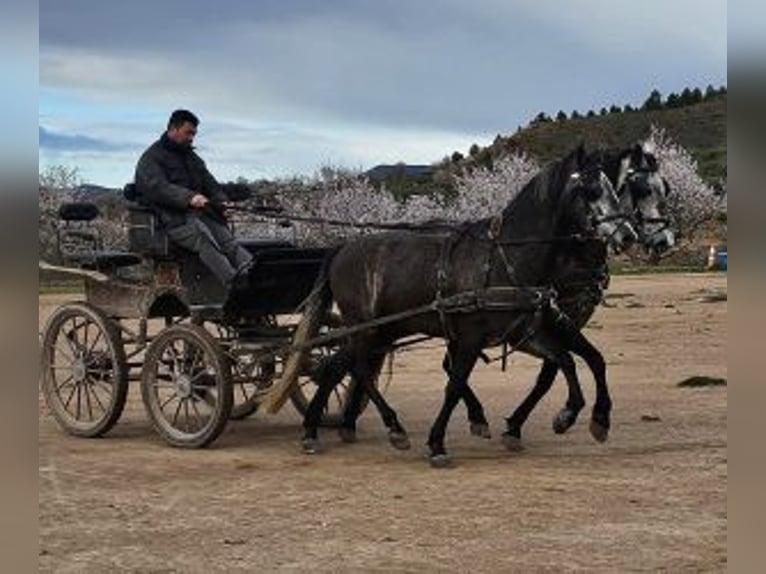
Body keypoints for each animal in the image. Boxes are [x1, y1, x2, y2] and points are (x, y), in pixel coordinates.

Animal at [304, 146, 640, 466]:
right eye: (591, 190)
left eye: (615, 189)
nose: (628, 235)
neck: (506, 258)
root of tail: (343, 247)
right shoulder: (471, 337)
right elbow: (455, 385)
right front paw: (437, 443)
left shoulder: (524, 332)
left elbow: (569, 360)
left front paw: (579, 415)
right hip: (365, 327)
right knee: (357, 367)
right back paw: (391, 426)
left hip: (382, 330)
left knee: (338, 365)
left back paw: (317, 427)